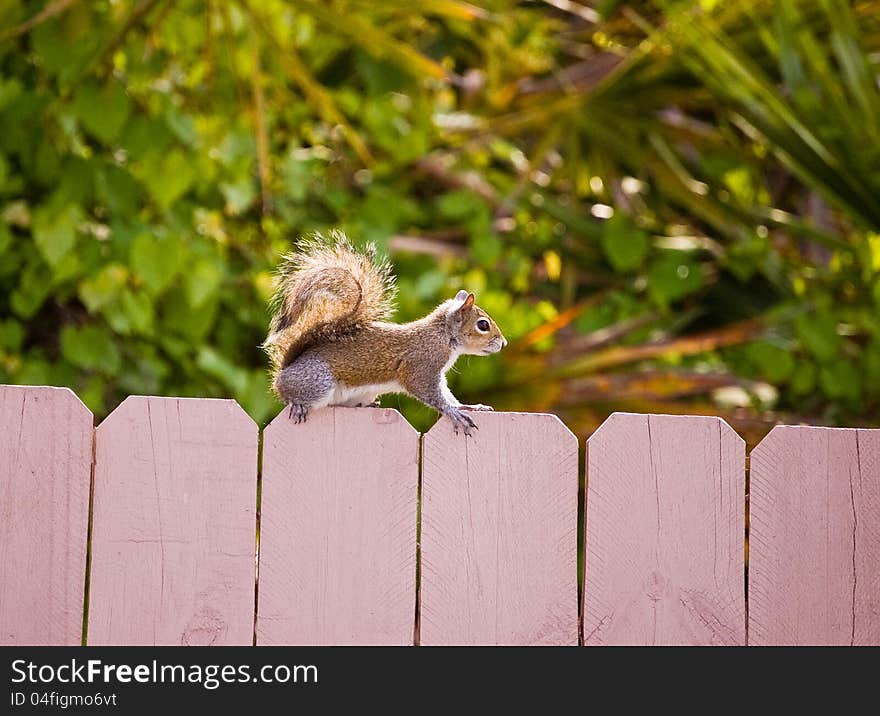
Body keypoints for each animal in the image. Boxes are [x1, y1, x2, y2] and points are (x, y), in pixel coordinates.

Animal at [264, 234, 506, 436]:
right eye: (483, 325)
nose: (503, 343)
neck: (443, 335)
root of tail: (285, 371)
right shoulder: (421, 366)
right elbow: (428, 392)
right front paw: (453, 413)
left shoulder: (437, 374)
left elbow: (447, 393)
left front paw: (467, 406)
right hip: (317, 381)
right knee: (290, 395)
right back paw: (297, 404)